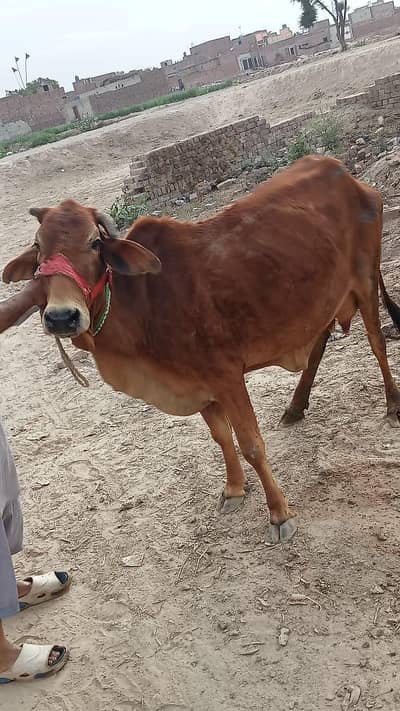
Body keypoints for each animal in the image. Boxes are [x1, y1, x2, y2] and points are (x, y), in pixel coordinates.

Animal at [3, 155, 400, 543]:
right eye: (38, 247)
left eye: (94, 243)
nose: (62, 317)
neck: (145, 300)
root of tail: (347, 175)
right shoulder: (198, 384)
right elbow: (221, 437)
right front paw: (235, 489)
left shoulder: (227, 376)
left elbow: (251, 444)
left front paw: (279, 514)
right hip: (324, 297)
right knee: (319, 340)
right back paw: (295, 406)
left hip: (365, 281)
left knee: (377, 343)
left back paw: (392, 404)